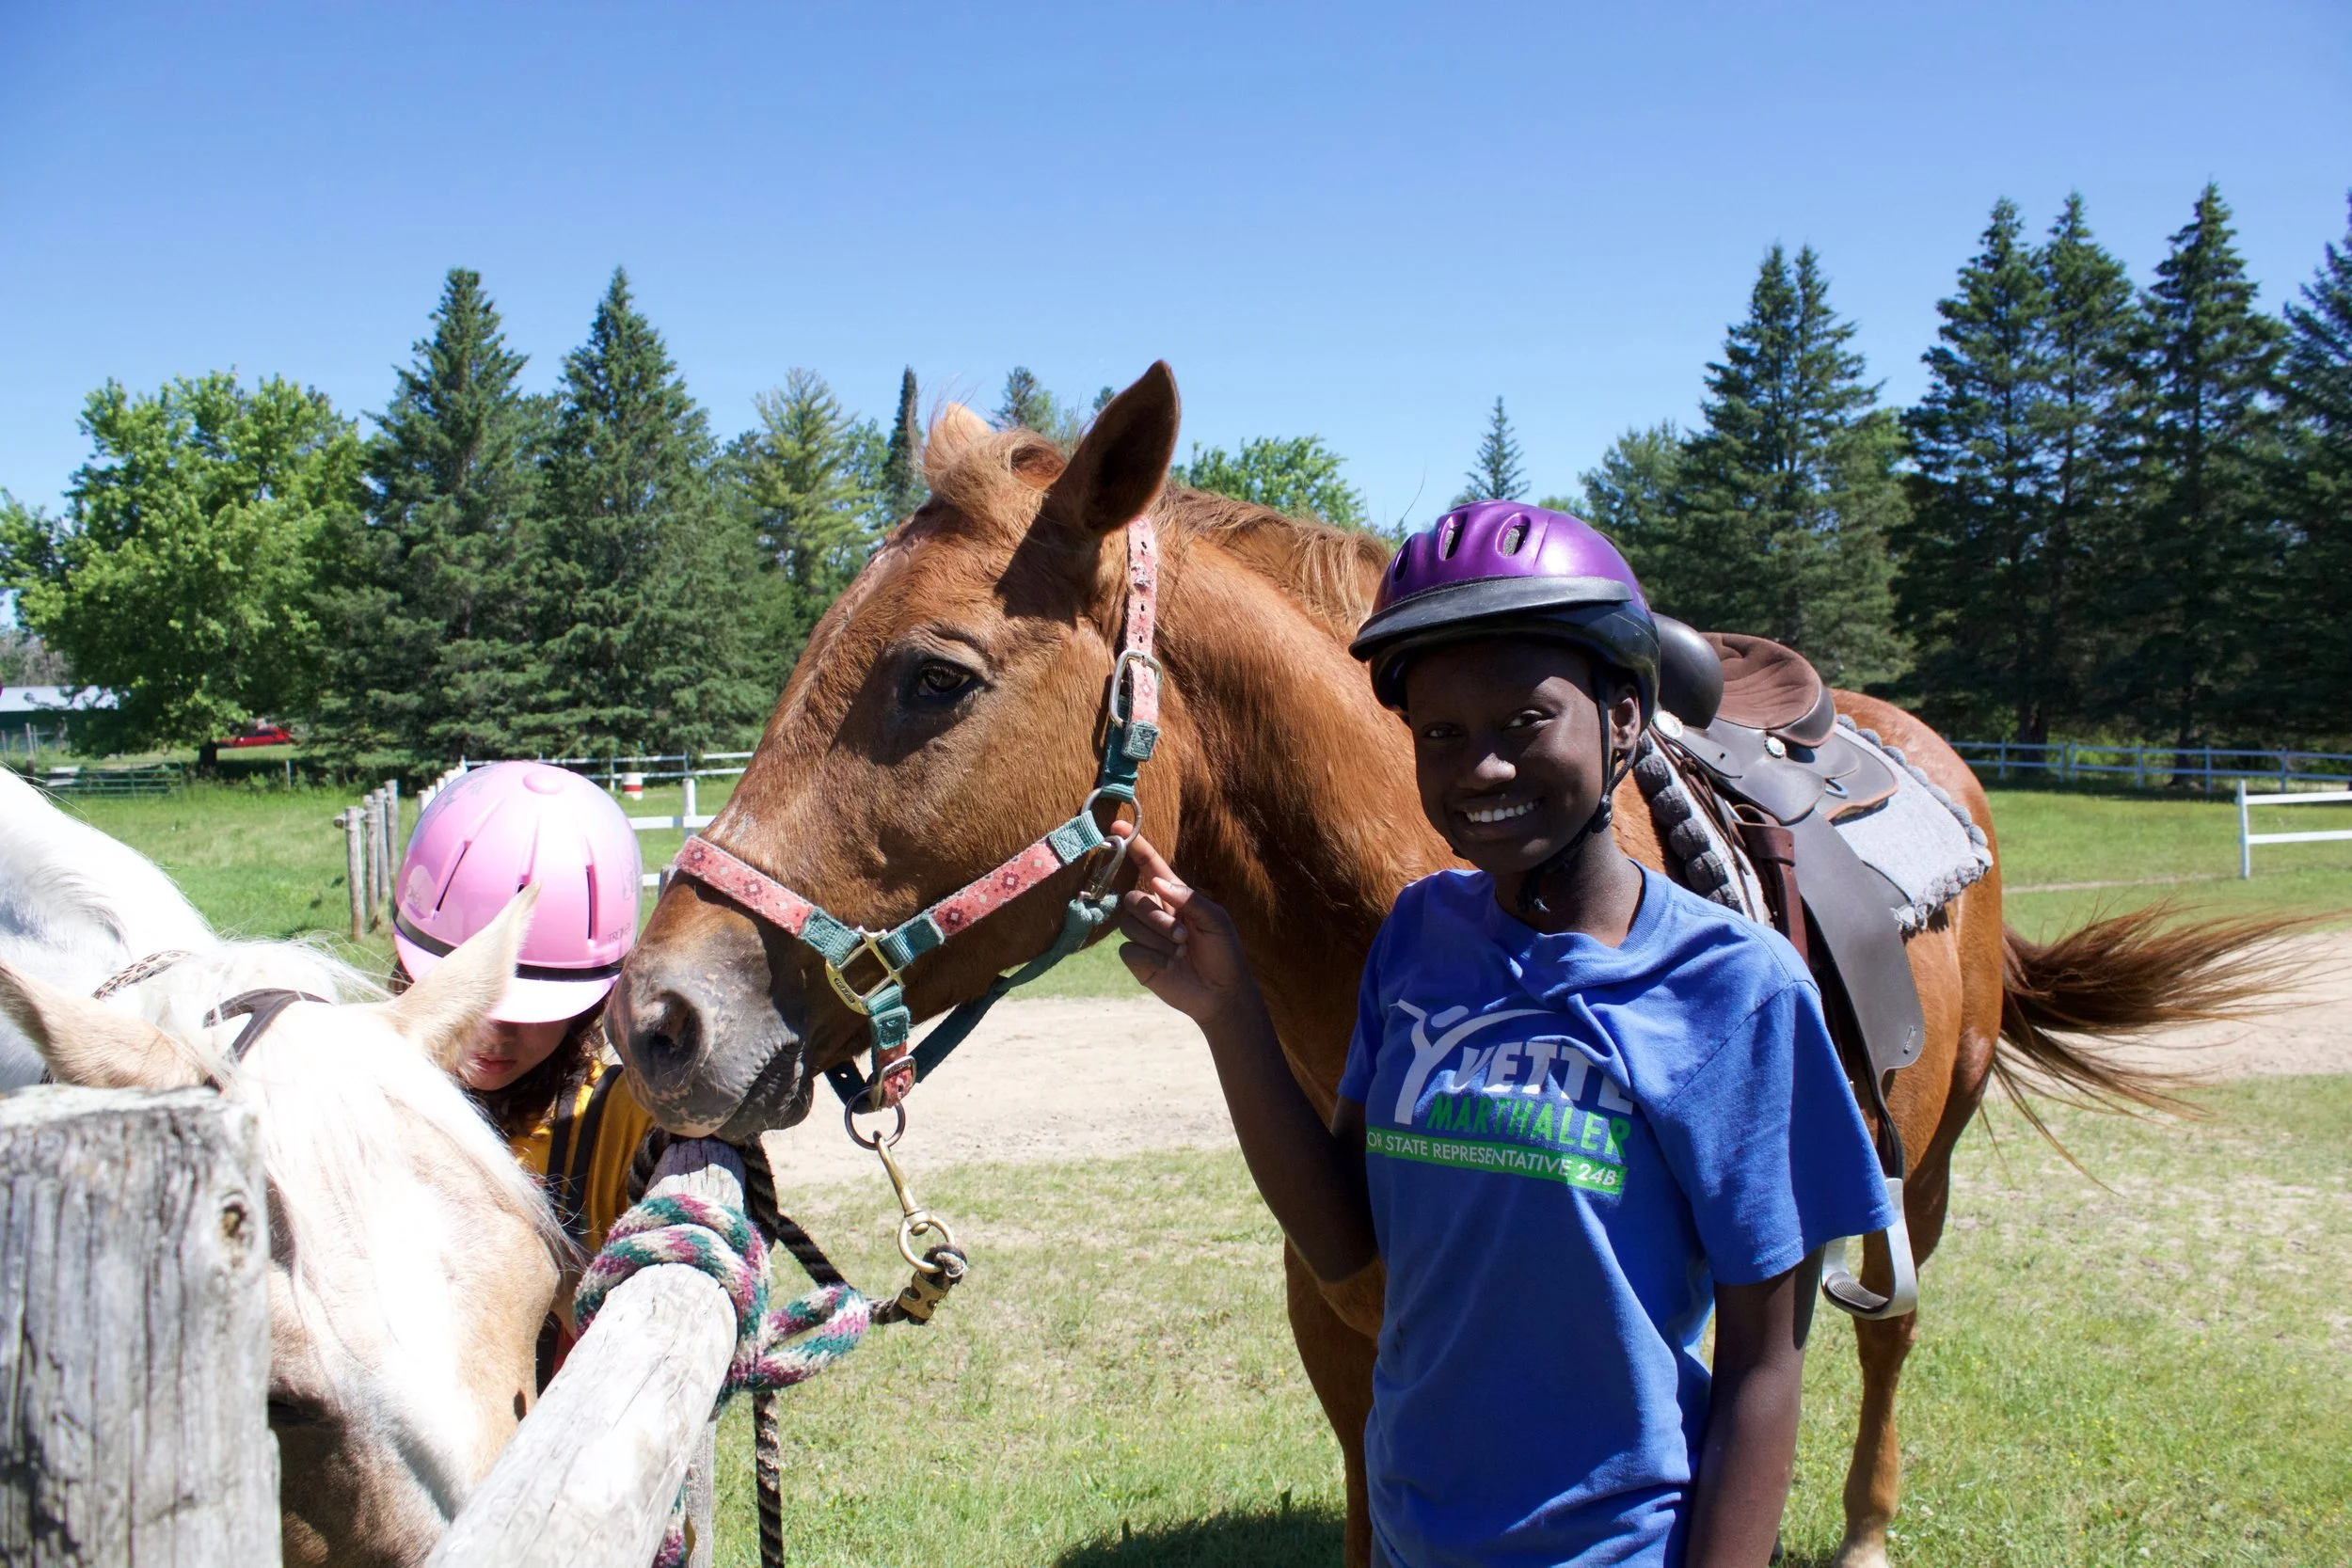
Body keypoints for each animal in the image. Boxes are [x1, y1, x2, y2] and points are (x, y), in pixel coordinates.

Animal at [611, 364, 2286, 1568]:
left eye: (933, 678)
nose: (655, 1016)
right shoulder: (1344, 1314)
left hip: (1916, 1165)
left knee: (1889, 1330)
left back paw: (1868, 1527)